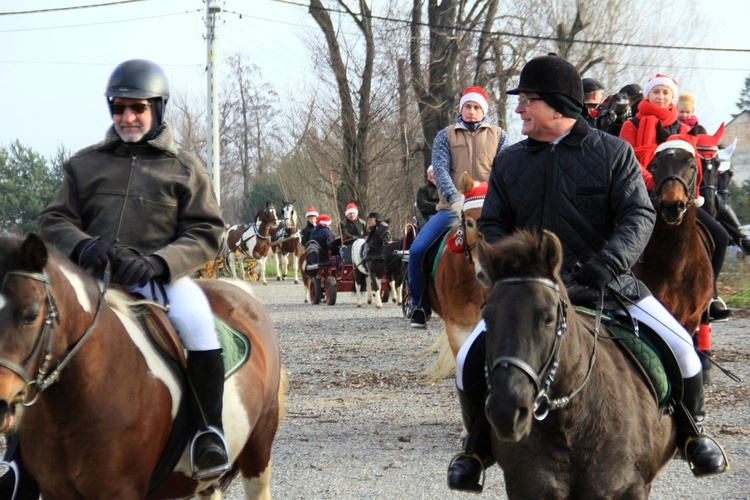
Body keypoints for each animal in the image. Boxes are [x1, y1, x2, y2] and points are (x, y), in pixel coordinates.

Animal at [0, 234, 284, 500]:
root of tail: (239, 290)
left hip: (259, 445)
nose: (1, 403)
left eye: (30, 316)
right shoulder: (54, 490)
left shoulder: (120, 489)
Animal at [478, 229, 680, 498]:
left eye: (548, 318)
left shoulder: (629, 488)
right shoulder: (529, 487)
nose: (506, 411)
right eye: (486, 318)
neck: (569, 419)